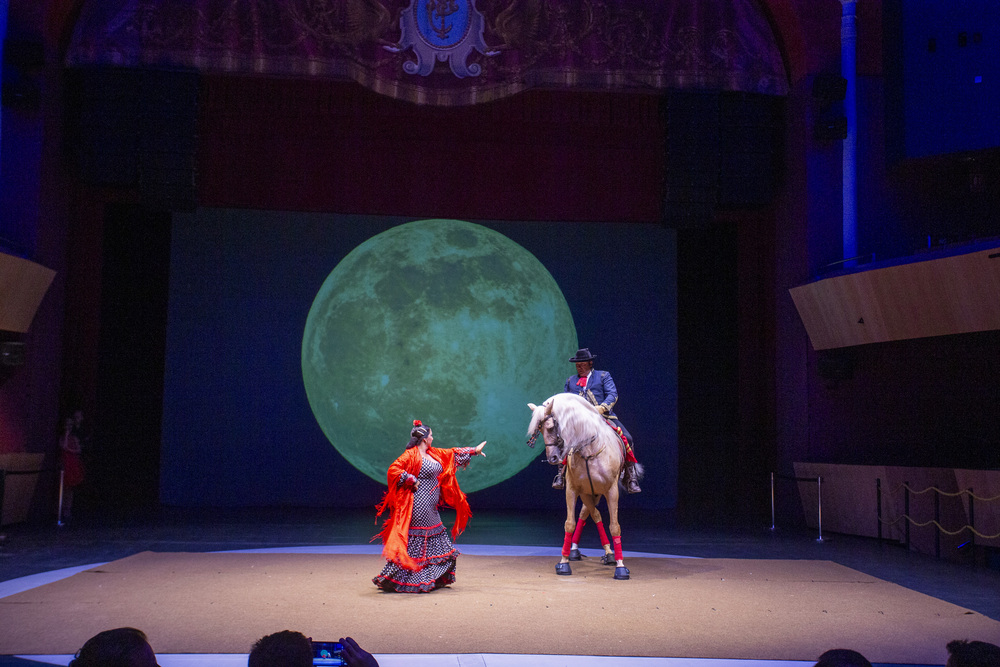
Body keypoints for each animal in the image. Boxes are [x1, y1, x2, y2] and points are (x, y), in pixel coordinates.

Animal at [528, 392, 636, 580]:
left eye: (552, 427)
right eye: (539, 430)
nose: (553, 458)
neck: (589, 452)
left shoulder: (611, 491)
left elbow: (615, 526)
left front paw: (621, 567)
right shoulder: (574, 490)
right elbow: (571, 523)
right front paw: (564, 563)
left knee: (591, 513)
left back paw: (610, 554)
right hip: (590, 492)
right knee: (591, 513)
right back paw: (587, 551)